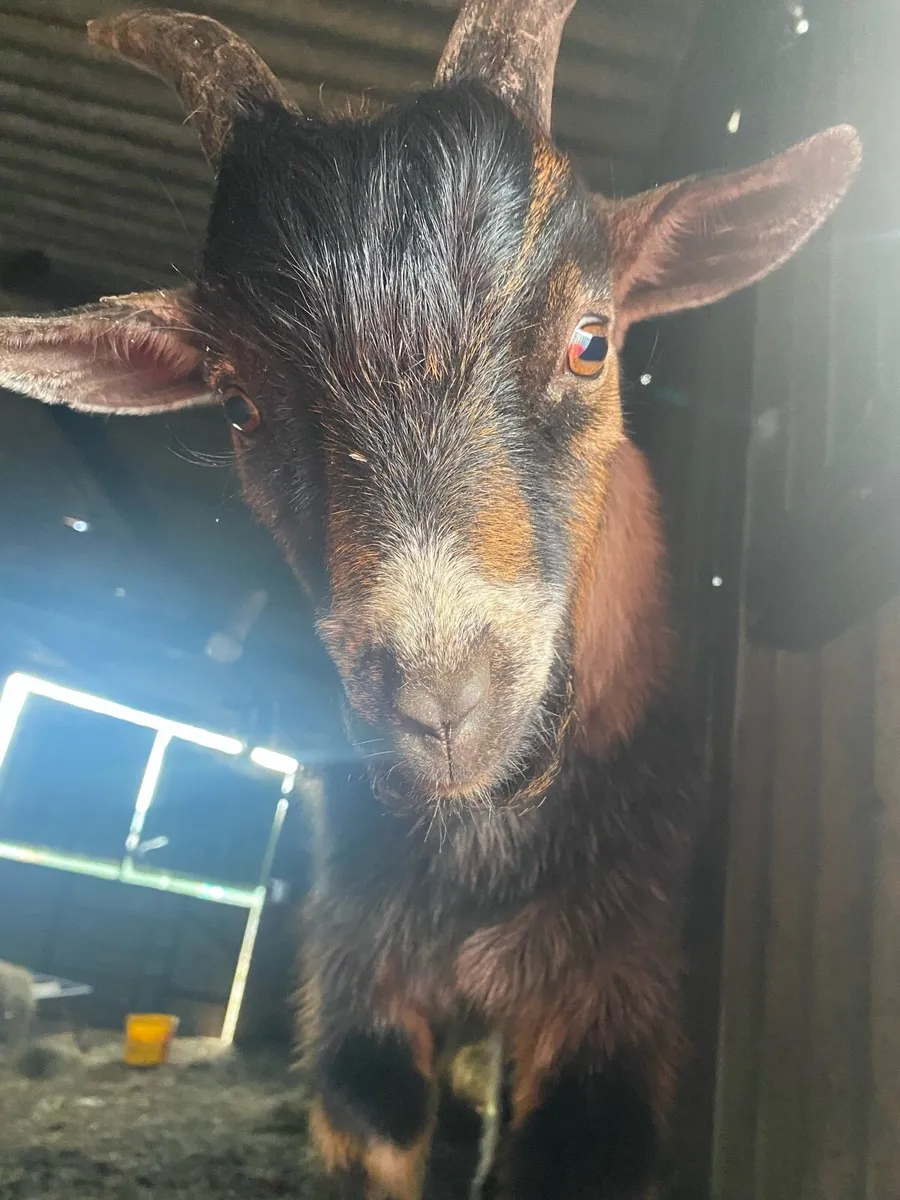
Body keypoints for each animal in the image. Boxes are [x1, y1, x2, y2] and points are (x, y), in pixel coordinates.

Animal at [0, 3, 860, 1196]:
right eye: (237, 403)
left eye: (593, 340)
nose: (443, 705)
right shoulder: (361, 961)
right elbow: (377, 1108)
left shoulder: (616, 975)